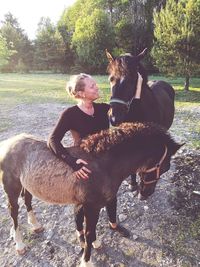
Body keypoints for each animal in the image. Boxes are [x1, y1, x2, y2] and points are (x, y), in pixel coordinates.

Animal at [0, 122, 181, 266]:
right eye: (165, 167)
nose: (146, 193)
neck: (102, 166)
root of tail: (8, 143)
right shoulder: (91, 207)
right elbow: (88, 233)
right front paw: (86, 261)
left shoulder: (91, 205)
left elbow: (88, 230)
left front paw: (96, 243)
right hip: (12, 187)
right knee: (13, 211)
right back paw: (19, 244)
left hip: (27, 185)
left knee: (27, 199)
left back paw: (35, 225)